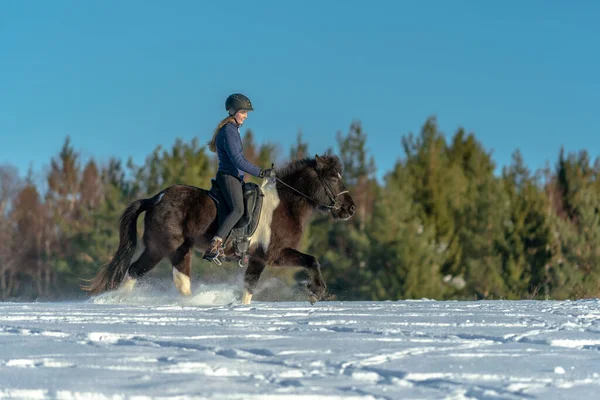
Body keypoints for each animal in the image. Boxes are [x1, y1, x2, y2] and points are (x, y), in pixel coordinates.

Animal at [84, 153, 356, 304]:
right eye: (333, 178)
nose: (350, 208)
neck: (285, 204)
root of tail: (155, 199)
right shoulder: (269, 255)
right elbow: (251, 288)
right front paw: (316, 292)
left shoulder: (272, 256)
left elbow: (308, 261)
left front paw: (317, 292)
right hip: (164, 249)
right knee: (142, 274)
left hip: (172, 250)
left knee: (169, 280)